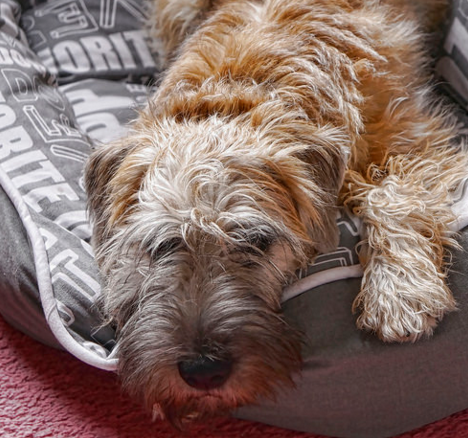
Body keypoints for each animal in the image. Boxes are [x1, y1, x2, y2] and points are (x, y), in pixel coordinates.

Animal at [85, 0, 468, 426]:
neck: (240, 95)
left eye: (258, 241)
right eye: (161, 245)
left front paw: (399, 290)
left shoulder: (413, 140)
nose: (203, 370)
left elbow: (389, 197)